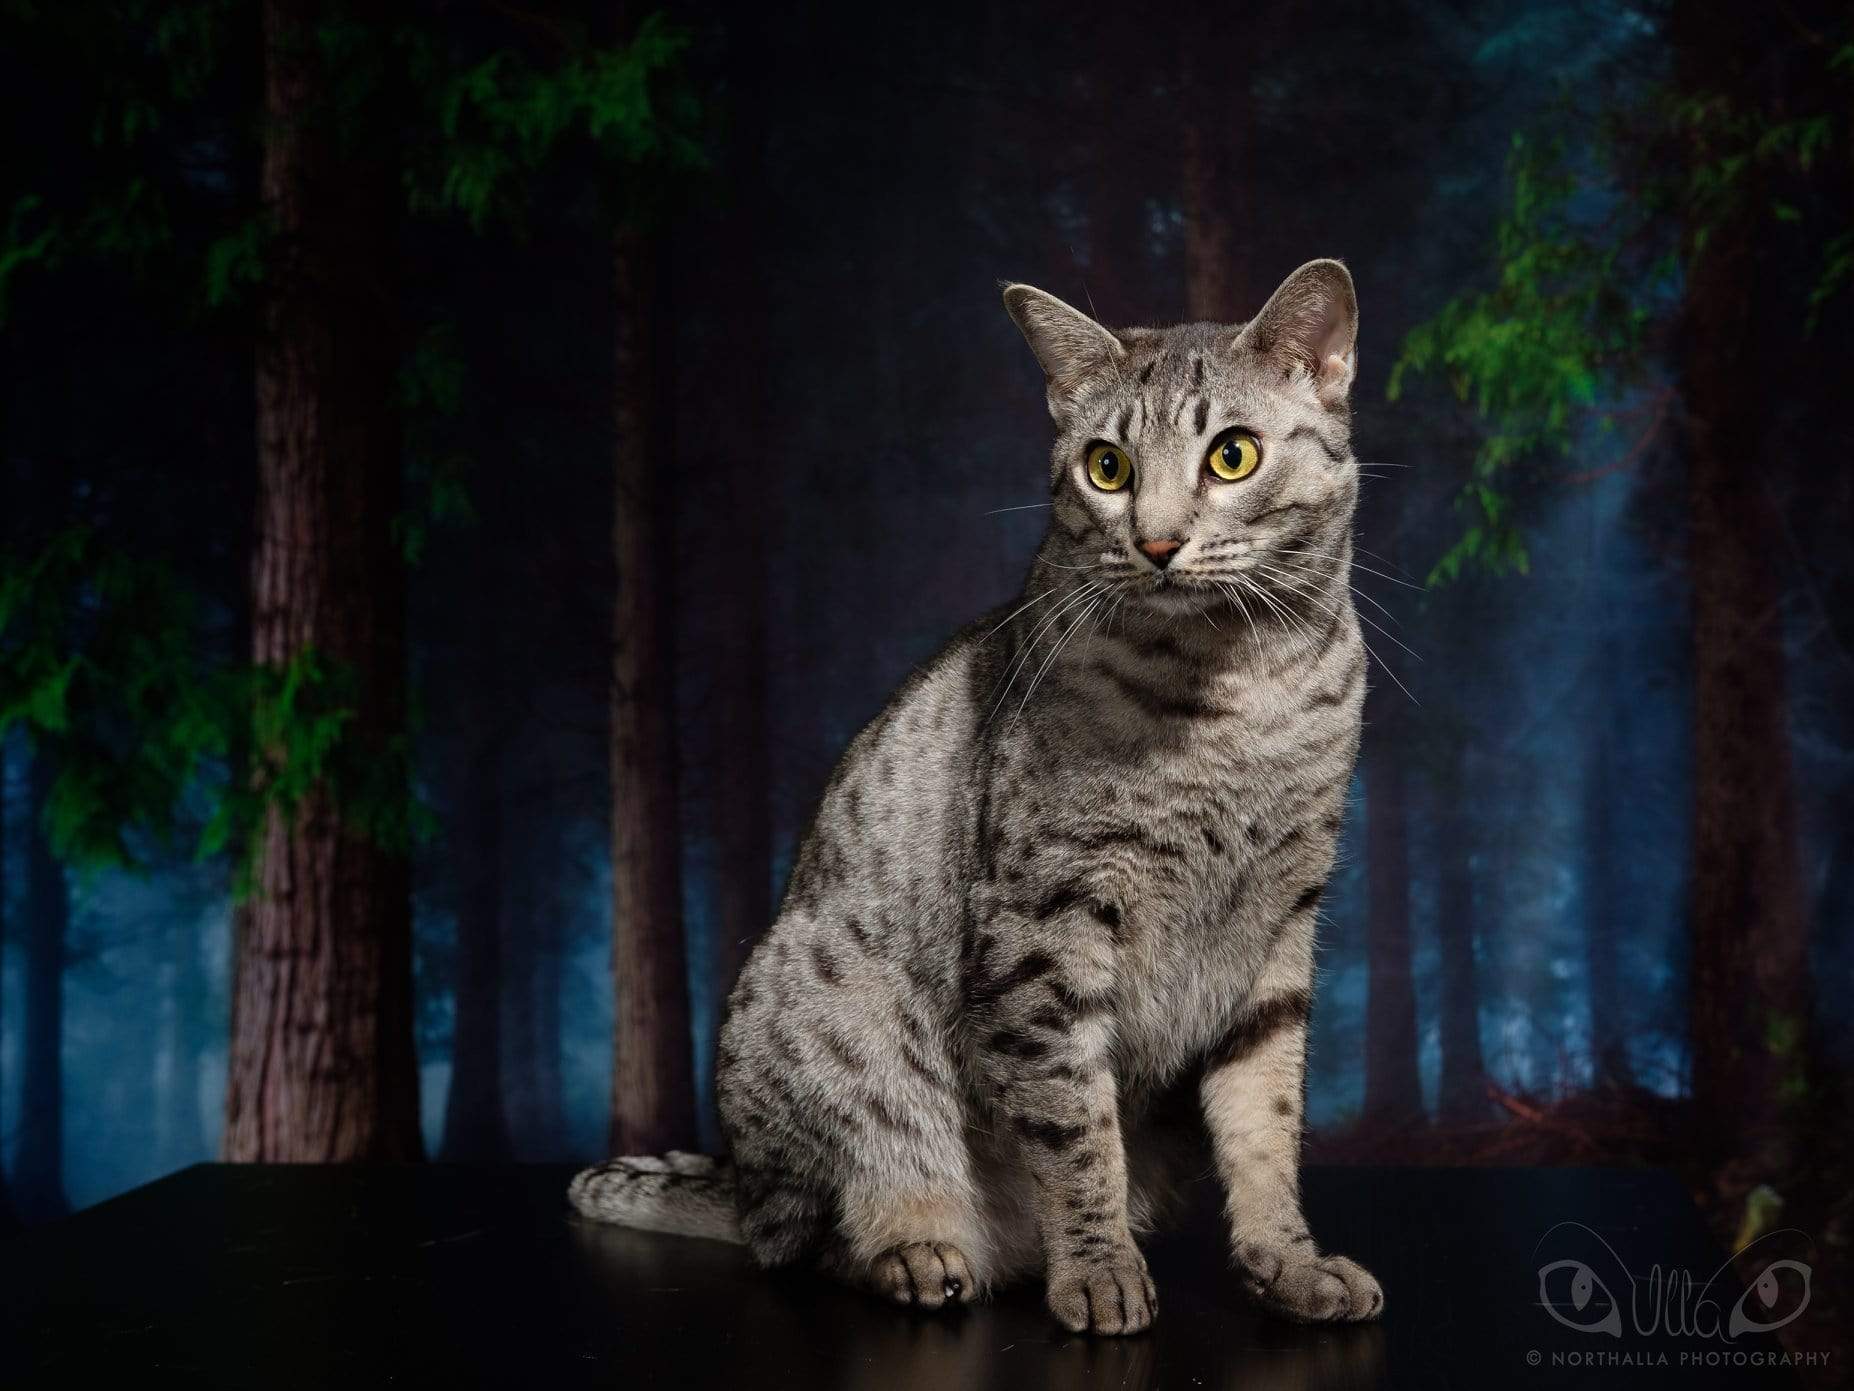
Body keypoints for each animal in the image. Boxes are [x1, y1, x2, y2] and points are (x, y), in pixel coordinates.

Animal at [571, 259, 1386, 1342]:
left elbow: (1266, 1125)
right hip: (818, 1012)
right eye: (1108, 468)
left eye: (1234, 455)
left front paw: (1287, 1262)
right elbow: (1077, 1128)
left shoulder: (1281, 929)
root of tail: (738, 1184)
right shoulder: (1044, 926)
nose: (1159, 541)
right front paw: (1099, 1270)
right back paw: (921, 1249)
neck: (1237, 693)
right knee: (810, 1234)